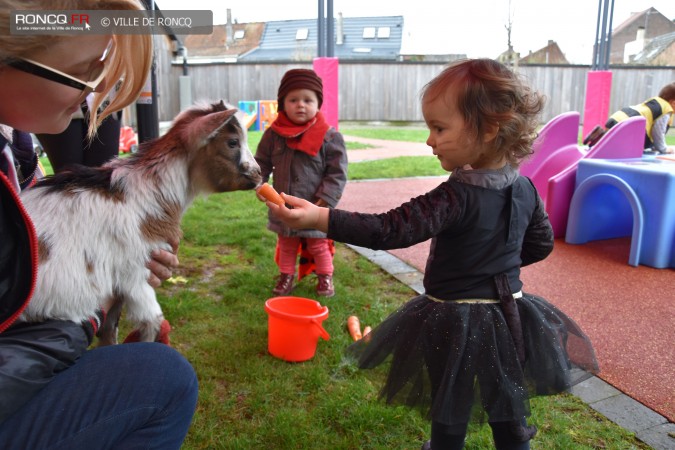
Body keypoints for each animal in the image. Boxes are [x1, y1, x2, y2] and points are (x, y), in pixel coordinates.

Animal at [19, 100, 262, 342]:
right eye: (232, 142)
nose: (259, 174)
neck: (144, 193)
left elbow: (109, 328)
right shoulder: (135, 272)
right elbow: (154, 323)